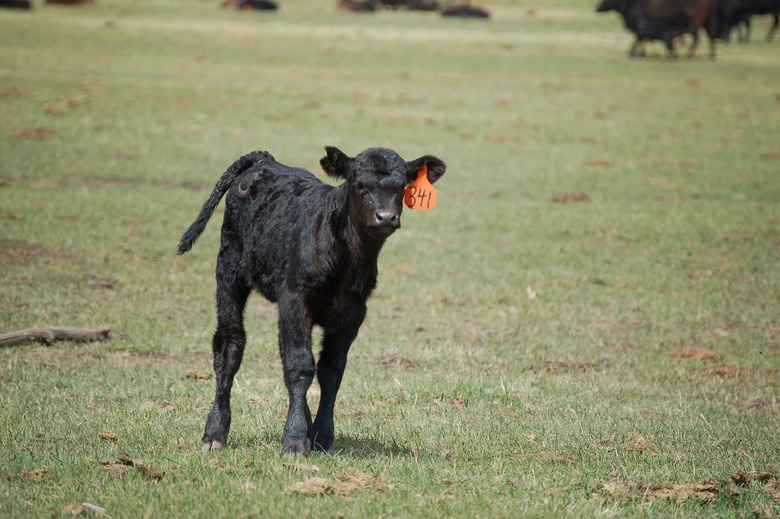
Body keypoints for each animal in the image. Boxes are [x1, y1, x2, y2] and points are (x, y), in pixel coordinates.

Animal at [178, 147, 446, 455]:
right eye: (359, 184)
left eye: (402, 187)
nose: (386, 217)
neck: (346, 258)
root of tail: (266, 160)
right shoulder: (296, 299)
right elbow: (300, 366)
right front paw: (294, 439)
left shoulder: (354, 312)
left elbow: (331, 370)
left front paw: (322, 436)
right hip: (229, 272)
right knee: (229, 345)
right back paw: (215, 432)